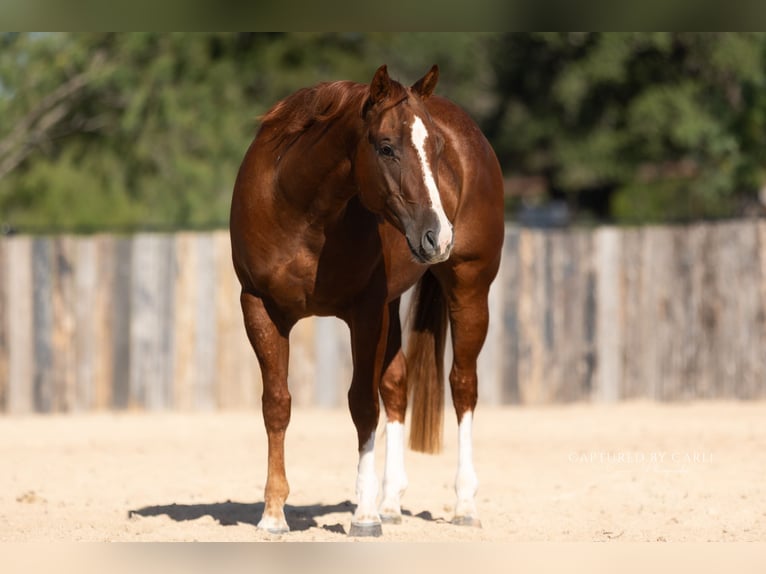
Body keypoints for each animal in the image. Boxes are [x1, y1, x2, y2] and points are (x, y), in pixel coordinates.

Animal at [230, 64, 504, 537]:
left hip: (469, 290)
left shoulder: (364, 312)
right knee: (396, 386)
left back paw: (463, 504)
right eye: (386, 147)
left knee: (462, 386)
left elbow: (361, 404)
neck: (300, 210)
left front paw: (364, 514)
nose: (438, 236)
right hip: (393, 307)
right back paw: (392, 501)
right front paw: (273, 513)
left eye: (437, 148)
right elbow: (277, 404)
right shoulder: (261, 308)